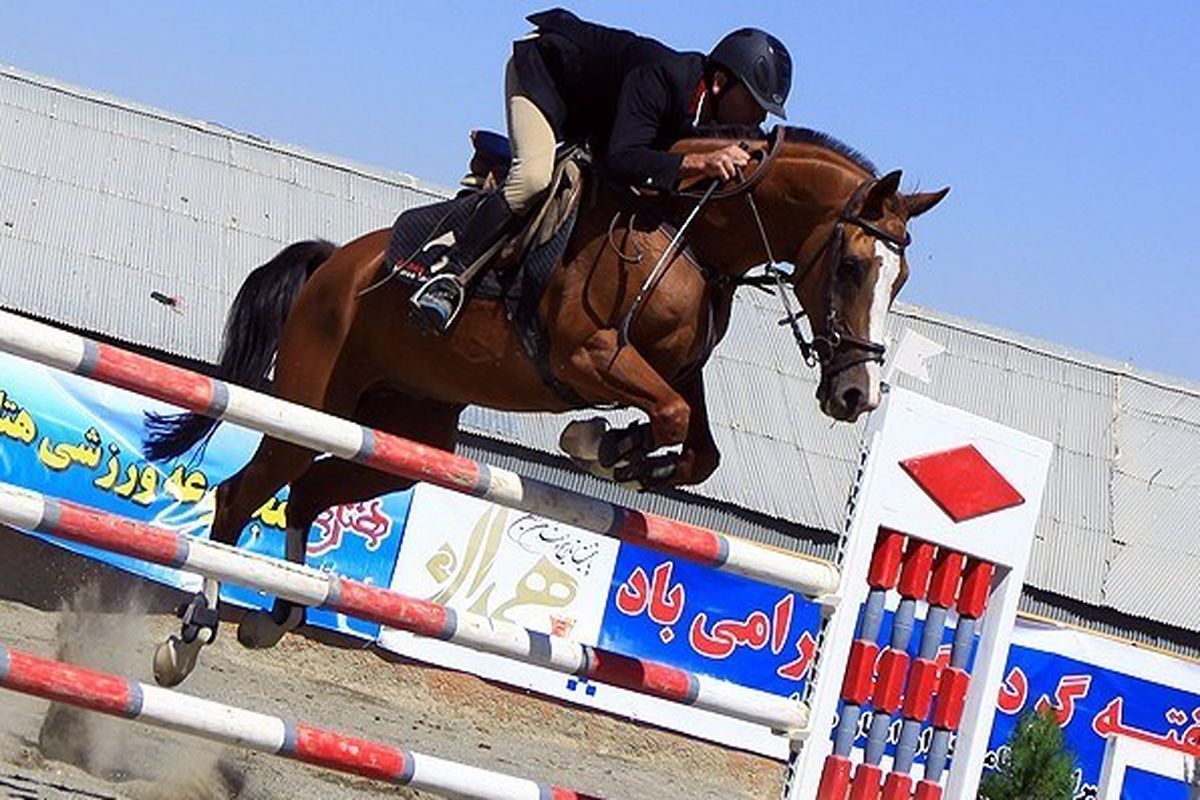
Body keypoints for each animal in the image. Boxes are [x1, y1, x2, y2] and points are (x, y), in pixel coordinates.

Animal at [145, 123, 945, 681]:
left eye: (901, 280)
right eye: (852, 266)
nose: (855, 394)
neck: (691, 234)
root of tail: (333, 263)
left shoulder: (676, 371)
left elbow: (702, 449)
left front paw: (629, 459)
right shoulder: (588, 356)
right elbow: (670, 418)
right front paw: (603, 446)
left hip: (408, 441)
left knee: (308, 494)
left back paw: (276, 612)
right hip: (314, 406)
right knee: (241, 494)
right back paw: (192, 634)